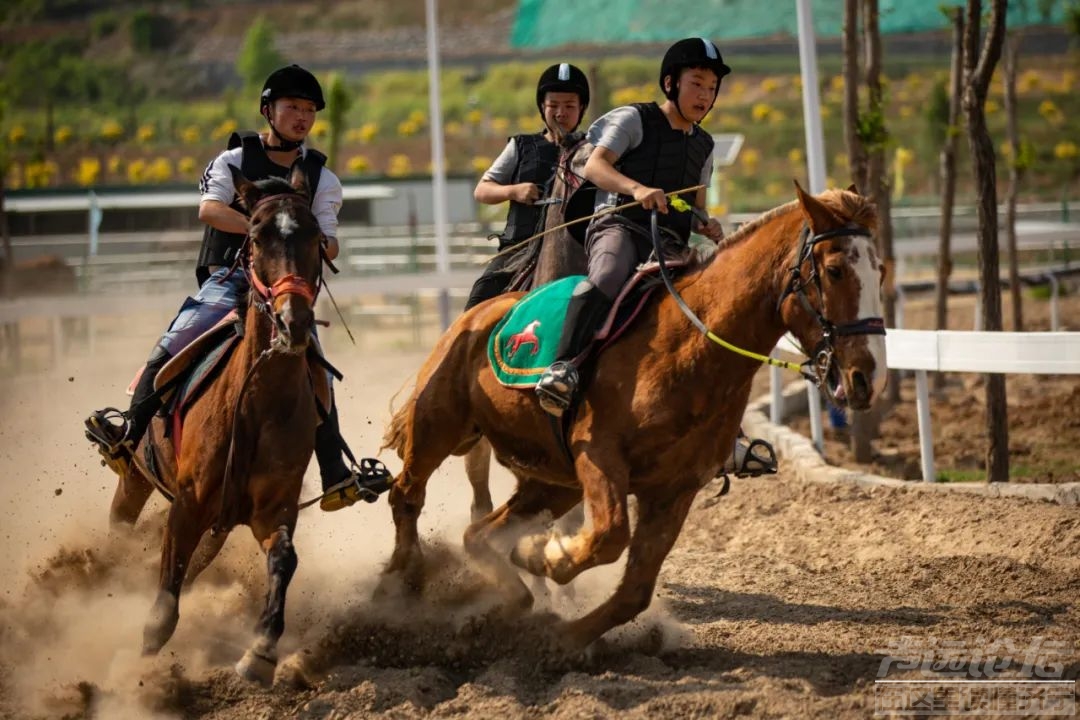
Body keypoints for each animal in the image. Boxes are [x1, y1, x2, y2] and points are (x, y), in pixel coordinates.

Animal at [105, 165, 326, 686]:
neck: (255, 405)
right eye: (257, 236)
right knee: (121, 522)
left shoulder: (273, 510)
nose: (293, 322)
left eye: (316, 235)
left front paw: (260, 652)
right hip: (135, 478)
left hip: (219, 527)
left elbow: (284, 560)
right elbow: (162, 611)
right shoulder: (187, 507)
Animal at [380, 183, 885, 651]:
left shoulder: (674, 490)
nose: (869, 377)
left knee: (478, 535)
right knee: (407, 495)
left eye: (880, 271)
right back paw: (400, 585)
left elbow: (634, 592)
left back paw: (510, 599)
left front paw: (562, 633)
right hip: (439, 426)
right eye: (835, 270)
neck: (687, 348)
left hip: (553, 483)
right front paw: (548, 555)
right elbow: (608, 537)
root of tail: (476, 316)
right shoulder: (600, 458)